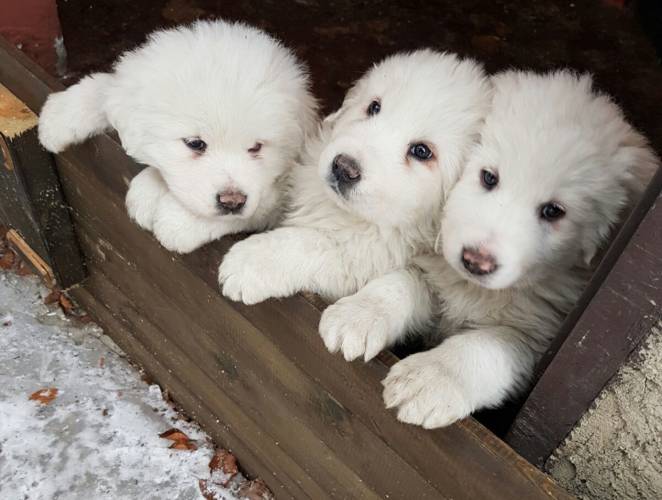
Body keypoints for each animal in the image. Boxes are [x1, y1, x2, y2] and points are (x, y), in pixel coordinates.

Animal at [39, 20, 320, 254]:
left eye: (256, 147)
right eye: (195, 144)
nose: (232, 202)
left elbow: (264, 204)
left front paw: (179, 222)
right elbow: (107, 88)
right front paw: (59, 116)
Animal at [382, 69, 660, 430]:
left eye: (553, 211)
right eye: (489, 177)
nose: (476, 262)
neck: (476, 290)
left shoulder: (534, 338)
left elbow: (484, 346)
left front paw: (428, 379)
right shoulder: (436, 272)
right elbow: (405, 281)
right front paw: (359, 313)